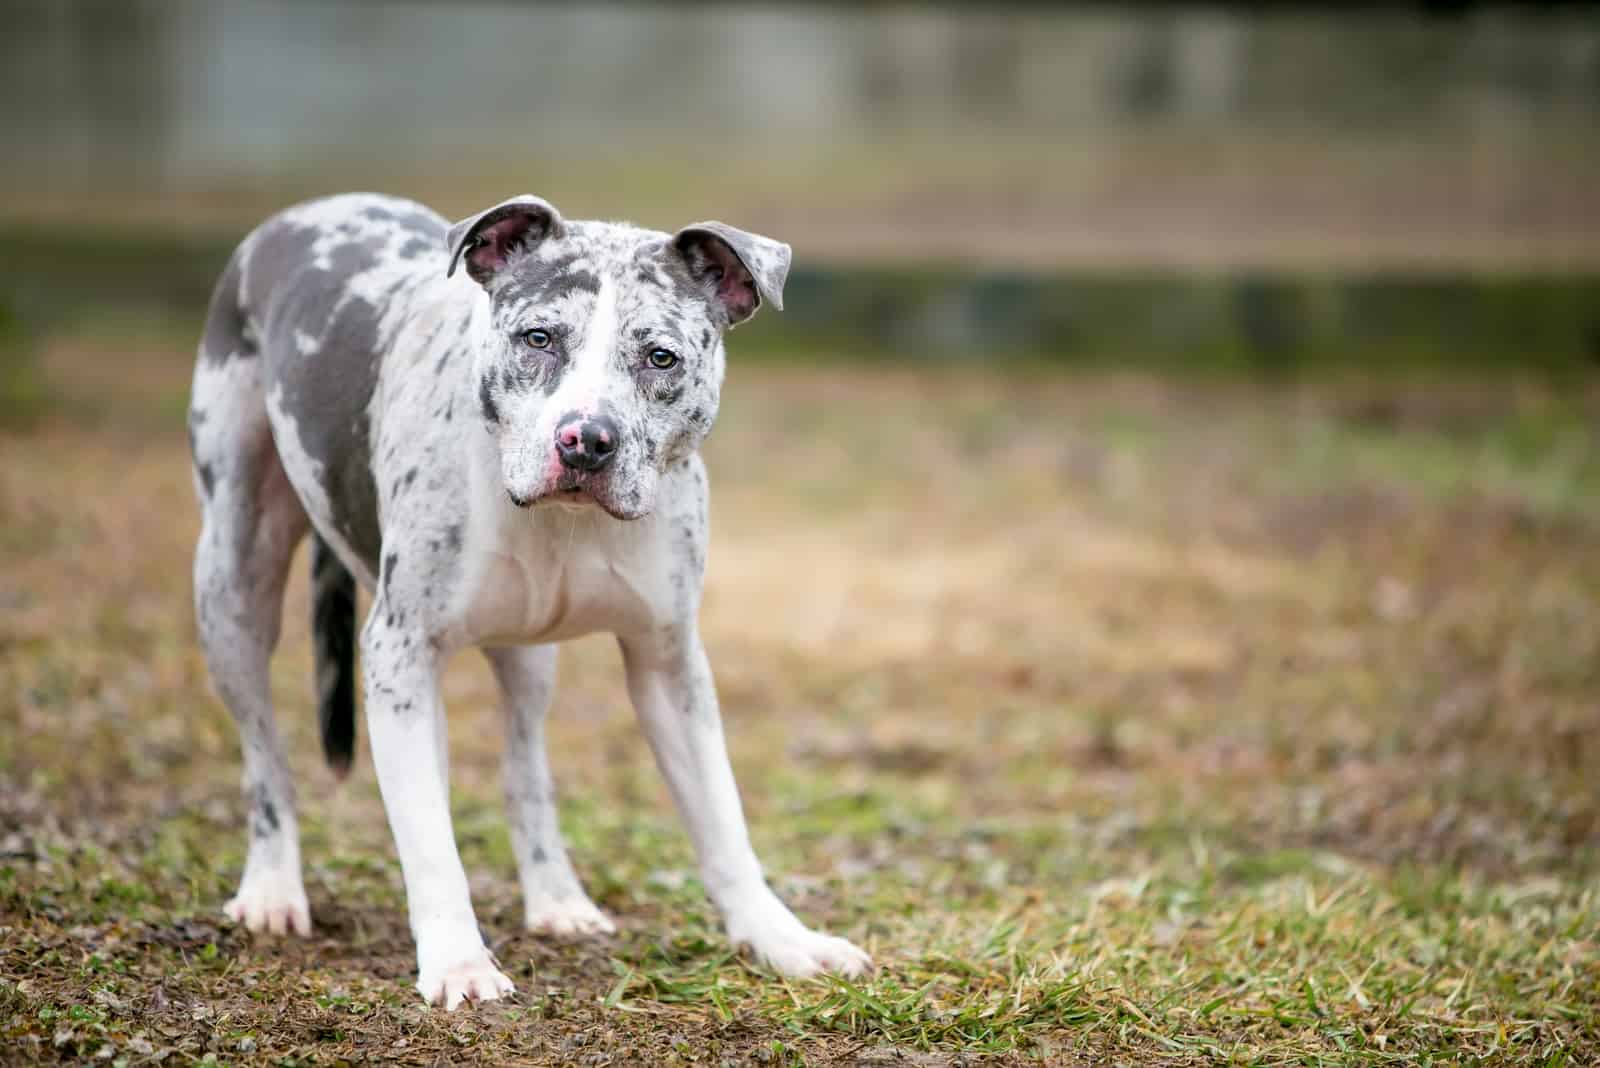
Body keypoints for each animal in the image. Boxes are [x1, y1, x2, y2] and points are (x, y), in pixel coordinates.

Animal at [190, 194, 876, 1010]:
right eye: (539, 338)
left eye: (661, 357)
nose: (586, 439)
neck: (563, 522)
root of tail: (310, 208)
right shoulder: (399, 655)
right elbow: (429, 838)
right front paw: (458, 962)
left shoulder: (669, 663)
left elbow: (722, 819)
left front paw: (781, 939)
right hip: (234, 583)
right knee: (266, 755)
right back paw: (270, 888)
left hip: (526, 657)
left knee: (524, 769)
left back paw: (556, 898)